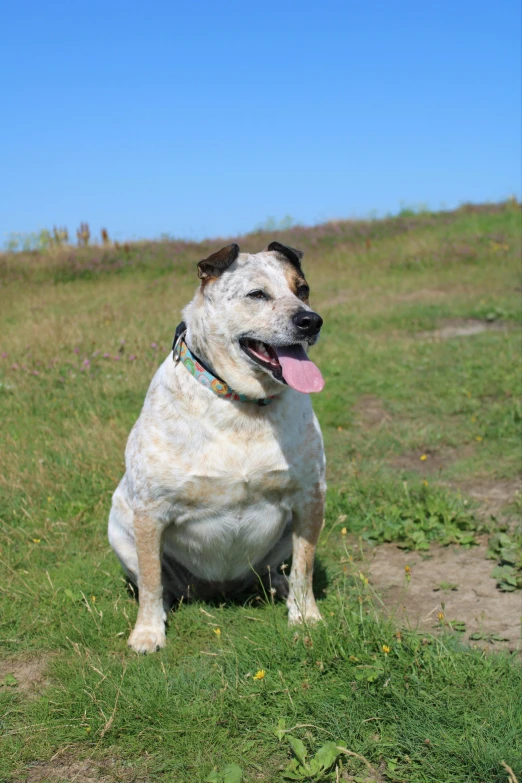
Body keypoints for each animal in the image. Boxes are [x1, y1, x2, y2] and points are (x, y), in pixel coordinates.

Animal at [108, 242, 324, 652]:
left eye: (302, 289)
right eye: (257, 295)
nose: (311, 321)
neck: (243, 405)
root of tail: (220, 589)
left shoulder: (309, 498)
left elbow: (304, 569)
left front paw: (305, 617)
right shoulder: (150, 513)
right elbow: (150, 581)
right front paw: (148, 633)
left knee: (275, 572)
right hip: (119, 529)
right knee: (156, 582)